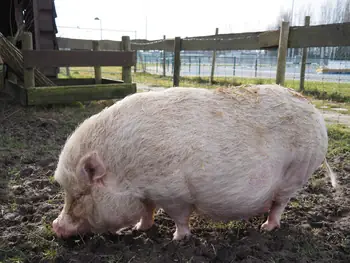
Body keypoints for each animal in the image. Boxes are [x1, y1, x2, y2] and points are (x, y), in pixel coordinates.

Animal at [51, 84, 336, 241]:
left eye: (80, 194)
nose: (55, 227)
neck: (125, 171)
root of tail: (315, 111)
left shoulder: (174, 192)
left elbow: (179, 217)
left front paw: (178, 239)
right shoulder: (149, 193)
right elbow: (147, 211)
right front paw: (138, 229)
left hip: (296, 172)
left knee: (280, 204)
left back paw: (266, 228)